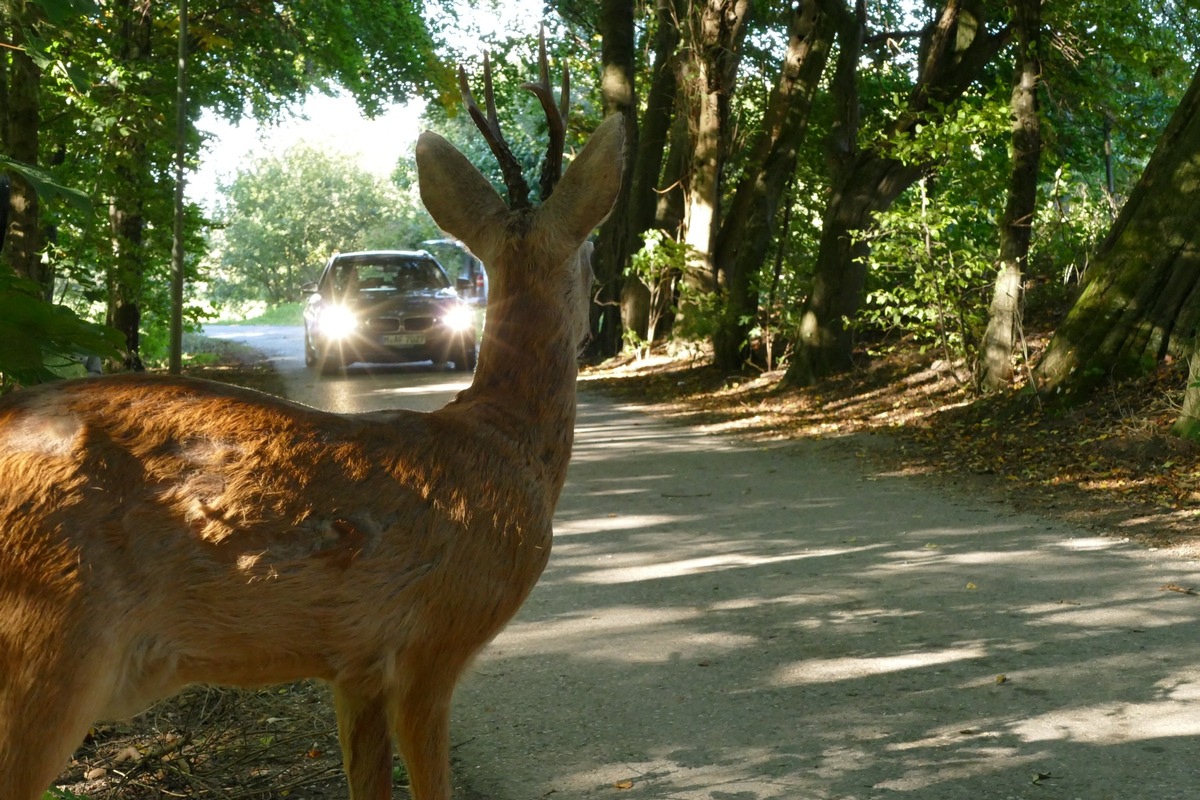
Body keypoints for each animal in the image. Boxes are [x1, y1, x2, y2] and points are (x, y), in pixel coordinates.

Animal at [0, 35, 619, 800]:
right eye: (590, 249)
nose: (605, 305)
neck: (506, 443)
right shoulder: (430, 644)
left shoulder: (353, 667)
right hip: (50, 639)